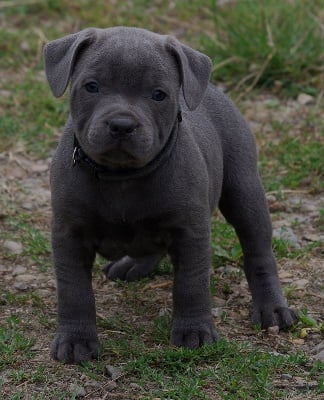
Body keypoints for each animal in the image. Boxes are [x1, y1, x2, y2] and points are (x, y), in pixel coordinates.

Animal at [44, 26, 298, 364]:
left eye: (158, 95)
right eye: (92, 87)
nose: (121, 124)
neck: (122, 176)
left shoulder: (190, 231)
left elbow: (191, 284)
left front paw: (195, 331)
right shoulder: (68, 233)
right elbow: (74, 290)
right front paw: (75, 340)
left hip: (245, 192)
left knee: (258, 253)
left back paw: (272, 308)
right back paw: (133, 264)